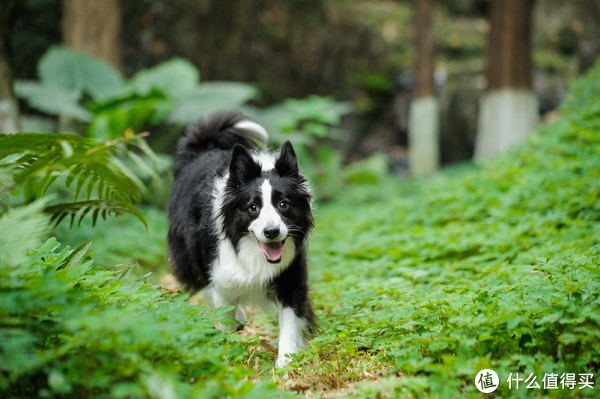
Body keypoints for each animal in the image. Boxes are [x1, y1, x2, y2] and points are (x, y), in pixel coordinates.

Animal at [166, 111, 316, 368]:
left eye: (283, 204)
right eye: (253, 207)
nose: (272, 232)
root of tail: (203, 150)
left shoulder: (291, 276)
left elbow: (289, 322)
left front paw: (285, 366)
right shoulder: (221, 272)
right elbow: (222, 312)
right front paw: (226, 358)